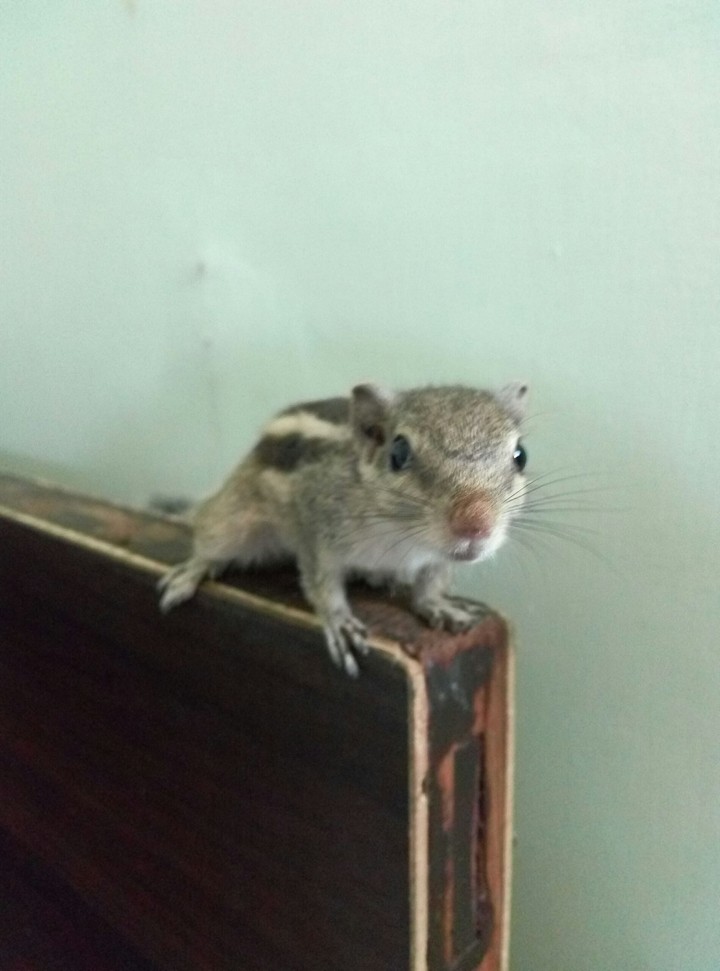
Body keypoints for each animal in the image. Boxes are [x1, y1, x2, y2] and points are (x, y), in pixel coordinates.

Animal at [158, 382, 529, 676]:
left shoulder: (437, 559)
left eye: (520, 455)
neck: (403, 536)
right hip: (233, 517)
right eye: (399, 452)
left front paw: (437, 604)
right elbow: (322, 583)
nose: (476, 522)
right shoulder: (314, 530)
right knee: (210, 538)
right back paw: (193, 569)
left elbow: (431, 583)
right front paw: (338, 621)